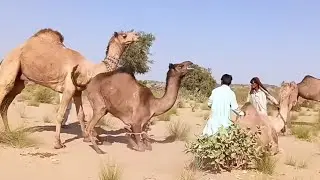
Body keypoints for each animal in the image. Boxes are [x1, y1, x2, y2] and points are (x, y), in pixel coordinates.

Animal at [0, 28, 140, 149]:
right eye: (124, 35)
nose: (137, 35)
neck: (89, 70)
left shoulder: (77, 92)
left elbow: (81, 115)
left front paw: (86, 138)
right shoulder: (68, 89)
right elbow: (60, 115)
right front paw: (57, 143)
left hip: (19, 82)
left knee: (5, 106)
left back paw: (9, 132)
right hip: (10, 66)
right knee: (4, 91)